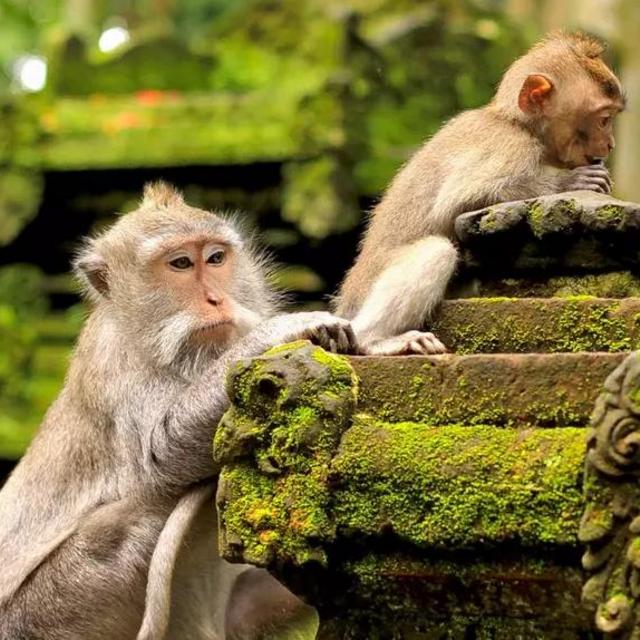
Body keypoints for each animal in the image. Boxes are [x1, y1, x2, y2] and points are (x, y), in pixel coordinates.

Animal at [0, 182, 357, 640]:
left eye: (216, 258)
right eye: (181, 264)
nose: (217, 299)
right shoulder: (116, 363)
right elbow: (162, 454)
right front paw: (278, 330)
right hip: (46, 612)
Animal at [335, 32, 625, 355]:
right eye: (603, 119)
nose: (610, 144)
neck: (517, 123)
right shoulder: (511, 146)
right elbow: (457, 201)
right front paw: (570, 181)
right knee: (436, 251)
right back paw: (374, 340)